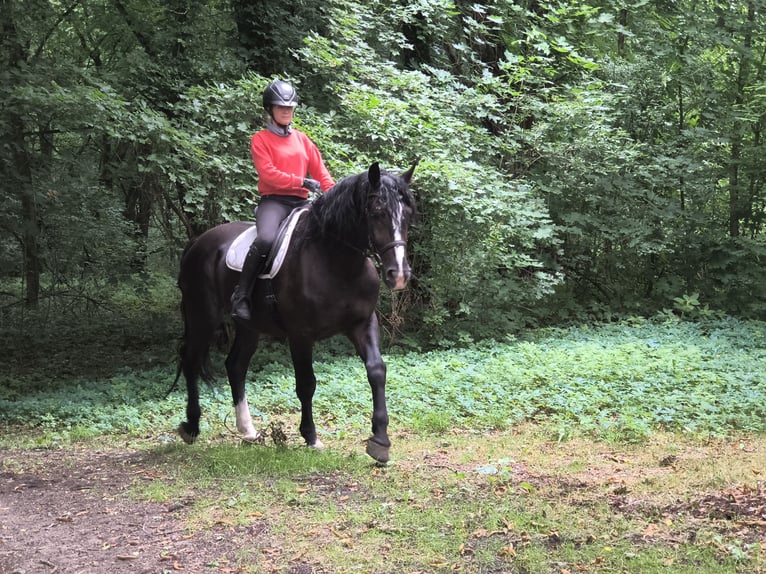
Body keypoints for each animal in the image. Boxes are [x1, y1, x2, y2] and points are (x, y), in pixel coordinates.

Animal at [173, 161, 417, 463]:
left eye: (407, 214)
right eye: (376, 212)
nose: (399, 274)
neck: (335, 261)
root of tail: (197, 242)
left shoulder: (362, 324)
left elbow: (376, 370)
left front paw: (380, 441)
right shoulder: (301, 334)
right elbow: (306, 383)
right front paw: (311, 436)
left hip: (249, 326)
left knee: (236, 365)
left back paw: (247, 430)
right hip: (202, 317)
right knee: (191, 361)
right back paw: (191, 426)